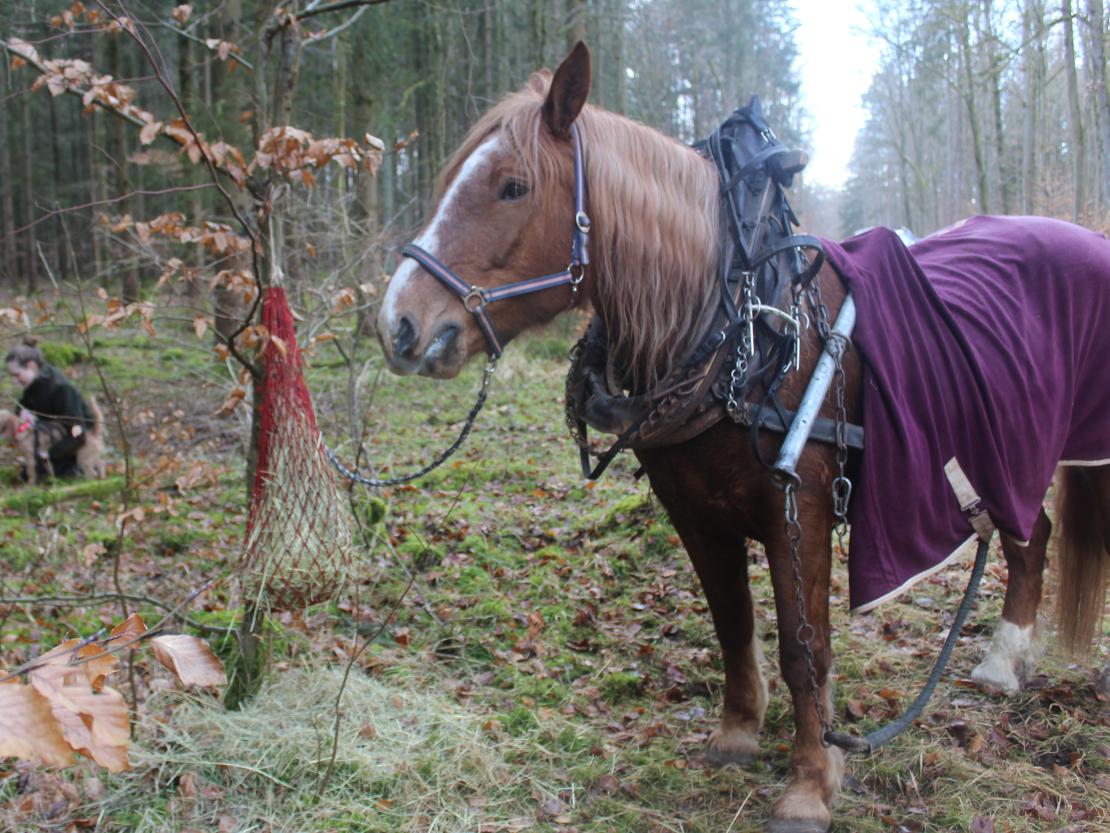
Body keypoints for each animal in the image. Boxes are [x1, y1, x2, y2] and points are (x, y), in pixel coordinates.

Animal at [375, 43, 1109, 833]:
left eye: (512, 186)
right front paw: (736, 735)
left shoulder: (802, 512)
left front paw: (811, 781)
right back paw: (1006, 661)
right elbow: (731, 621)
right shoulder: (695, 512)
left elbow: (803, 647)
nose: (399, 325)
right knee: (1030, 532)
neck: (745, 330)